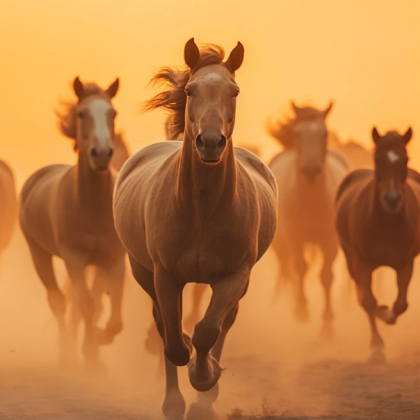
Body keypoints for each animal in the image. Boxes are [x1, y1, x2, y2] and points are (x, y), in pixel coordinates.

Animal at [20, 77, 124, 372]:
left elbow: (111, 314)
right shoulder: (74, 258)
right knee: (57, 300)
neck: (92, 205)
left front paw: (97, 345)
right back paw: (66, 353)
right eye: (81, 113)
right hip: (39, 253)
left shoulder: (114, 260)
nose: (102, 154)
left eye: (112, 113)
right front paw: (88, 356)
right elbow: (86, 304)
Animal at [113, 39, 278, 420]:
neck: (202, 207)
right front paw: (183, 382)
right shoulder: (164, 275)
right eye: (191, 90)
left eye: (234, 91)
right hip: (142, 270)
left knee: (225, 323)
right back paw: (174, 401)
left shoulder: (234, 275)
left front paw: (206, 379)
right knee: (163, 325)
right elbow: (172, 340)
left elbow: (208, 331)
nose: (211, 142)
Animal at [268, 101, 350, 334]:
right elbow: (300, 268)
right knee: (289, 270)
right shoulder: (295, 238)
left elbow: (326, 275)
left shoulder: (330, 241)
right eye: (298, 133)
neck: (312, 200)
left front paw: (327, 322)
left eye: (324, 133)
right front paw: (302, 310)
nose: (312, 170)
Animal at [334, 126, 420, 362]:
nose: (392, 199)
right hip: (350, 260)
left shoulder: (405, 263)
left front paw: (387, 313)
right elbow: (369, 301)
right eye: (378, 159)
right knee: (364, 297)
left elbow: (400, 305)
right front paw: (377, 347)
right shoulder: (361, 262)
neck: (385, 223)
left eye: (405, 159)